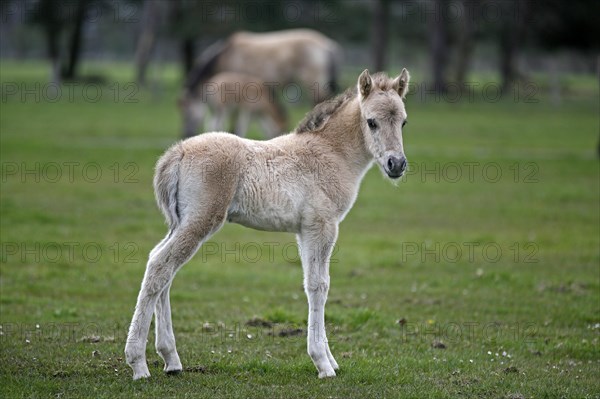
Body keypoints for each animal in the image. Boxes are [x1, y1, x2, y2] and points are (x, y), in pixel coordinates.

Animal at [124, 69, 410, 382]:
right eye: (371, 122)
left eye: (403, 121)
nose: (397, 164)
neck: (331, 153)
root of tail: (177, 152)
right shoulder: (321, 226)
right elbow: (318, 285)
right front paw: (322, 363)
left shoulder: (304, 231)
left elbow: (315, 283)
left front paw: (330, 360)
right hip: (200, 221)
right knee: (160, 266)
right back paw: (138, 364)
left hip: (181, 222)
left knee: (161, 265)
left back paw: (171, 359)